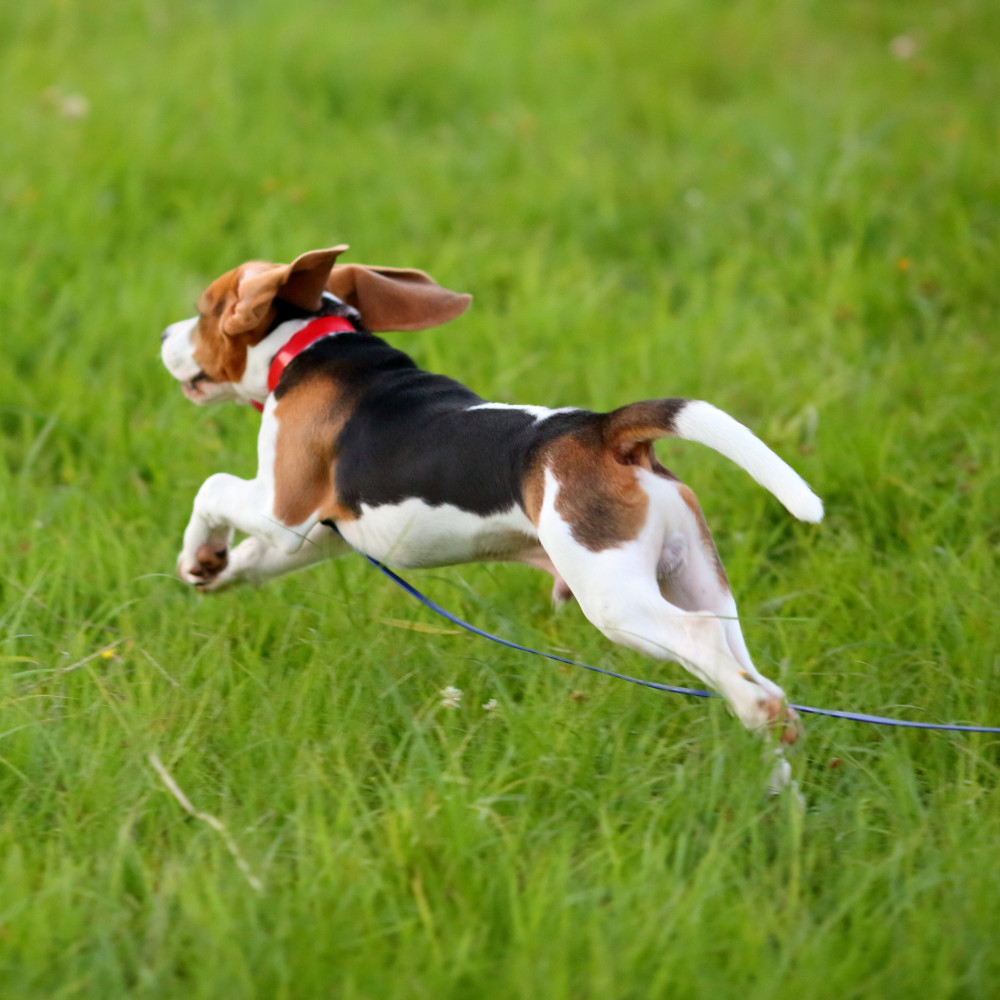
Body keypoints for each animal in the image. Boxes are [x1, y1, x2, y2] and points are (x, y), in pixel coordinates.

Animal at [162, 245, 820, 740]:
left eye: (205, 310)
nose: (166, 331)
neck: (313, 344)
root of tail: (602, 429)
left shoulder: (284, 508)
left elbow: (212, 489)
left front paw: (198, 551)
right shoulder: (321, 537)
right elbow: (253, 558)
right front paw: (212, 567)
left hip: (615, 598)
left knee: (703, 643)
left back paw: (758, 717)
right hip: (696, 574)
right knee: (744, 661)